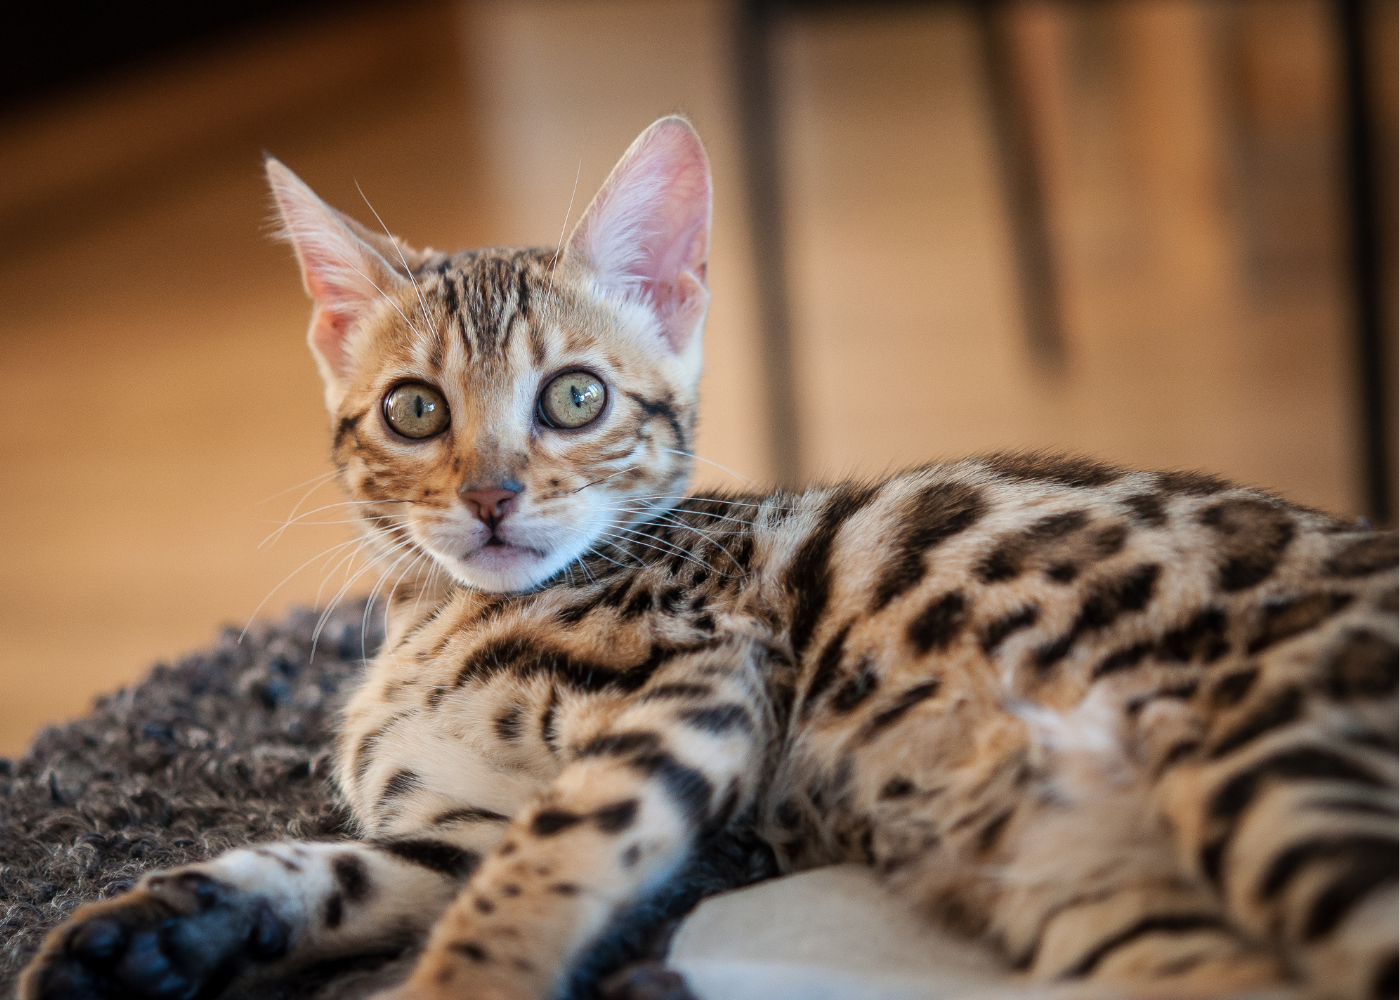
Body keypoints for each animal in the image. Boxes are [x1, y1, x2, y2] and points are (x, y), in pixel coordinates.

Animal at [16, 112, 1394, 991]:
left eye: (574, 399)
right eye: (414, 410)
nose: (492, 499)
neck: (446, 619)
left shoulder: (700, 679)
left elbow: (539, 864)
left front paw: (461, 978)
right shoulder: (456, 822)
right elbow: (341, 866)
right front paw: (154, 927)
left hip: (1265, 759)